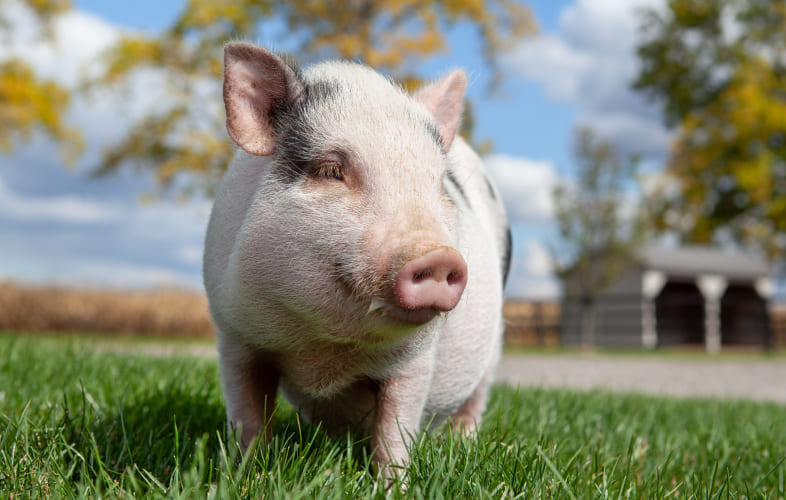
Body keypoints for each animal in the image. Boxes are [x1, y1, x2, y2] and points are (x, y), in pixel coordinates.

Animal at [203, 41, 511, 470]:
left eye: (438, 185)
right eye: (331, 169)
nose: (438, 257)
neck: (326, 351)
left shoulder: (414, 361)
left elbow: (395, 431)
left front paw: (392, 480)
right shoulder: (235, 336)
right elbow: (248, 418)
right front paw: (247, 473)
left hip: (495, 343)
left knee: (475, 401)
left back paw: (463, 444)